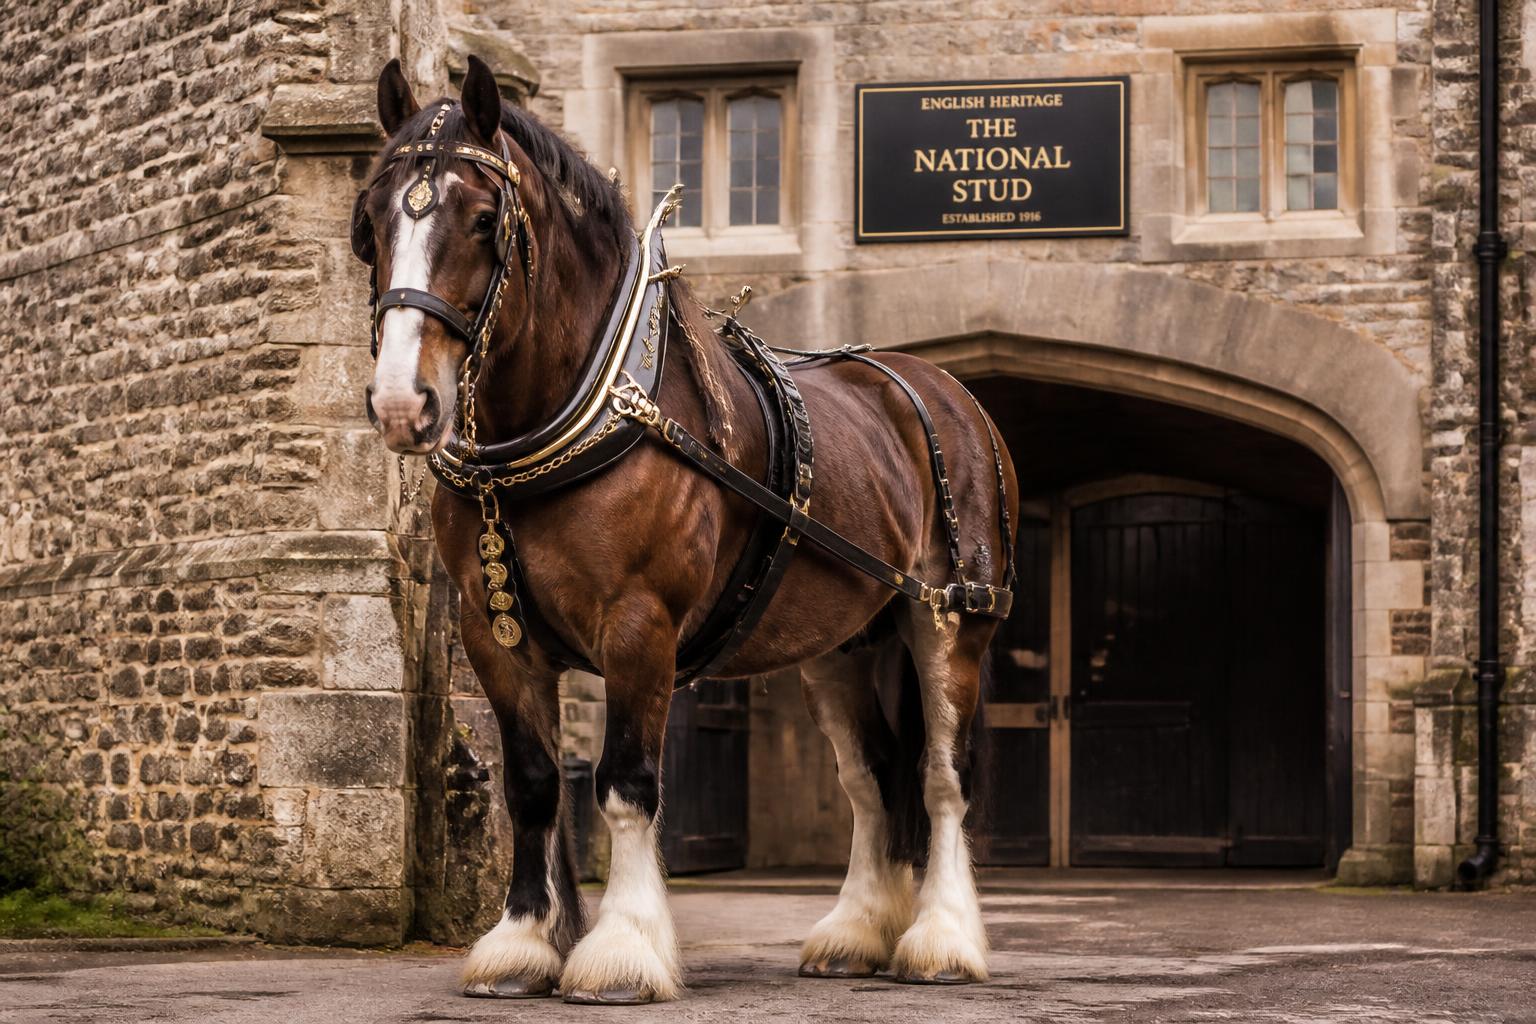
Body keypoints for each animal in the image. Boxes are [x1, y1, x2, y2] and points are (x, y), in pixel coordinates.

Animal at [349, 55, 1018, 1005]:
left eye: (483, 219)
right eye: (369, 225)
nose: (403, 404)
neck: (577, 413)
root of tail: (941, 388)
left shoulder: (640, 624)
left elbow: (626, 785)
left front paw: (623, 949)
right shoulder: (494, 633)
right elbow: (533, 785)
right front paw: (522, 942)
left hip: (950, 619)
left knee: (941, 777)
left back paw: (942, 940)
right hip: (841, 643)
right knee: (871, 778)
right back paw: (856, 931)